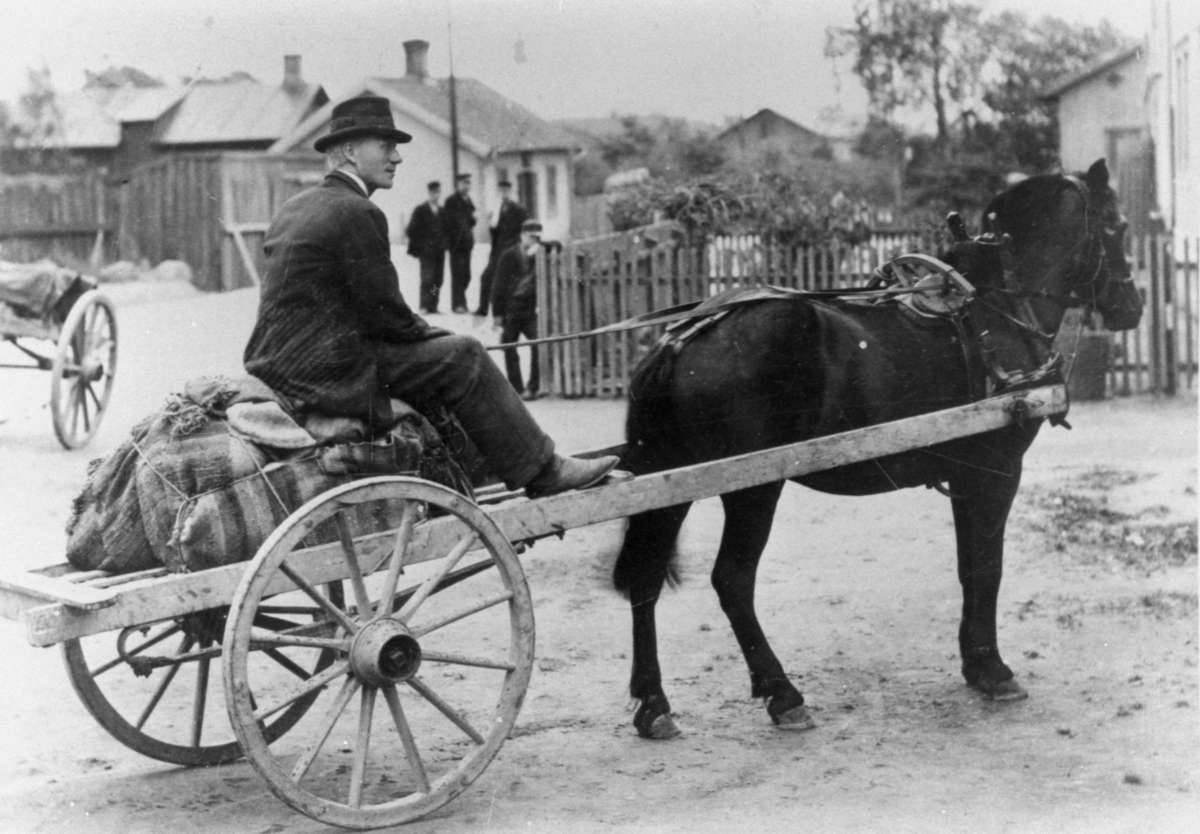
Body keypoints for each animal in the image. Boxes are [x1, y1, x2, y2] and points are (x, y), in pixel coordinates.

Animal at [614, 158, 1147, 739]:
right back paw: (782, 693)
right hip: (754, 487)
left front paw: (975, 662)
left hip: (672, 484)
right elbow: (988, 566)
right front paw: (992, 668)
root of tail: (679, 340)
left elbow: (968, 566)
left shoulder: (966, 477)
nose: (1133, 306)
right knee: (732, 580)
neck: (998, 307)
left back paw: (653, 703)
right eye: (1118, 227)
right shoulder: (998, 471)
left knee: (646, 577)